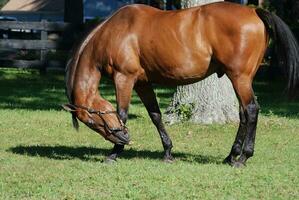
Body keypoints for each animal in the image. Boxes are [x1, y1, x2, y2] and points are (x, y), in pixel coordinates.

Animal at [62, 1, 298, 167]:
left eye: (91, 120)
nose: (125, 138)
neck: (114, 32)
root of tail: (254, 12)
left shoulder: (124, 78)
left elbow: (122, 113)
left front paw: (114, 152)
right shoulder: (142, 83)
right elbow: (155, 116)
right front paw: (167, 152)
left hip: (240, 78)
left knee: (251, 110)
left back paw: (243, 158)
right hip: (241, 80)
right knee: (243, 114)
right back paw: (231, 156)